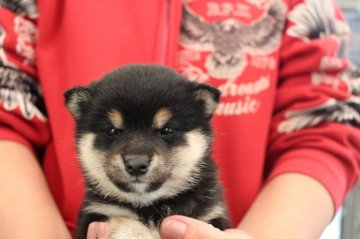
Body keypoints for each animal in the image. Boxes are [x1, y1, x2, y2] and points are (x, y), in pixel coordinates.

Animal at [63, 64, 229, 238]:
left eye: (166, 130)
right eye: (112, 131)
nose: (136, 165)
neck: (150, 206)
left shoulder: (211, 215)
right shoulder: (96, 214)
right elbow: (128, 225)